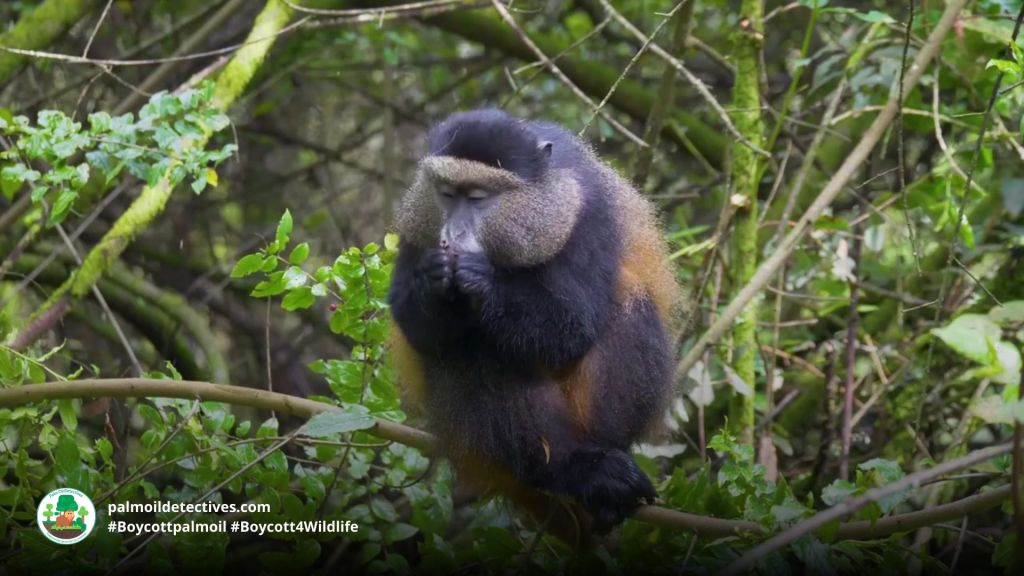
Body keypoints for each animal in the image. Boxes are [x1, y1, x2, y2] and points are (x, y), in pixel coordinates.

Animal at [387, 108, 686, 536]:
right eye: (445, 193)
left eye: (478, 198)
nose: (452, 235)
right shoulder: (417, 221)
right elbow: (418, 329)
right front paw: (432, 279)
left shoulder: (589, 211)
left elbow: (570, 327)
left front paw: (482, 281)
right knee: (472, 347)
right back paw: (561, 468)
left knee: (629, 305)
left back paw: (596, 469)